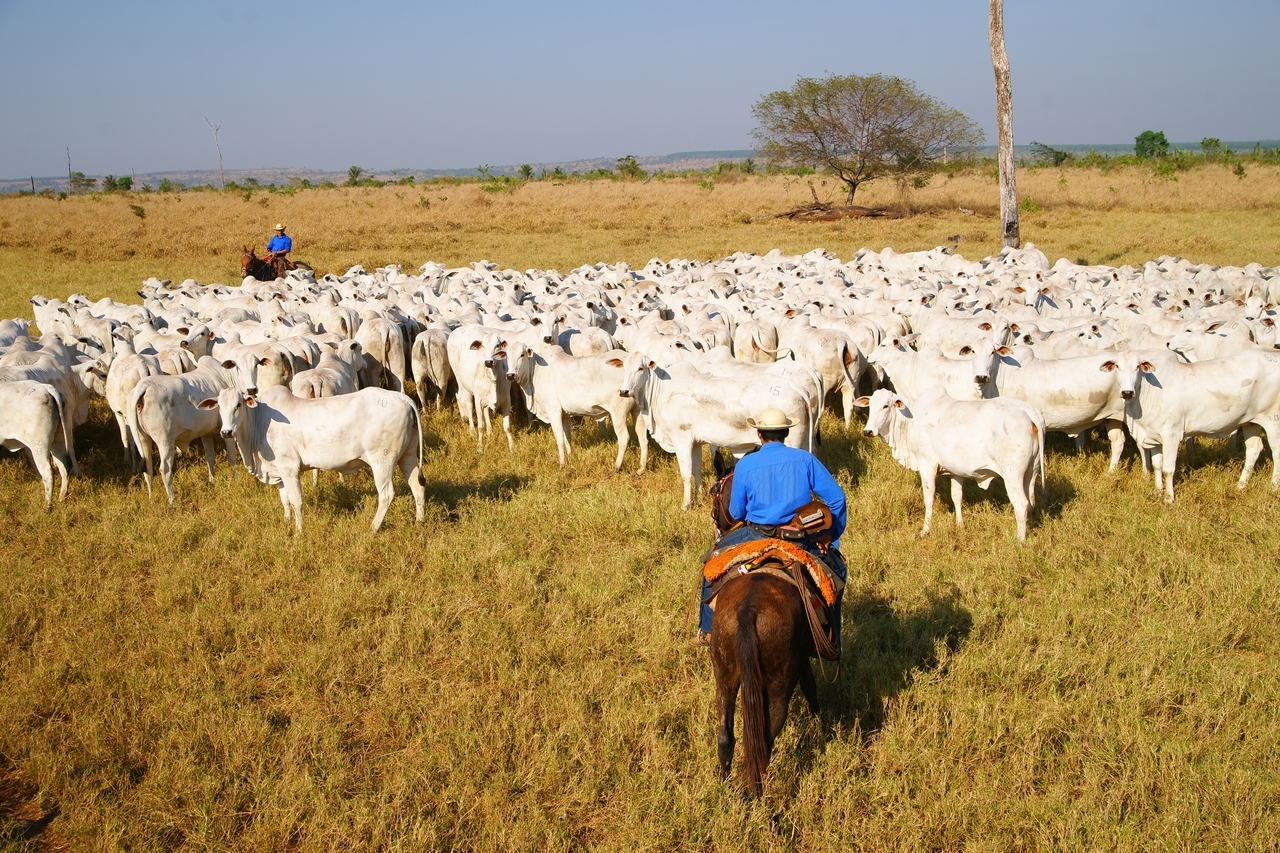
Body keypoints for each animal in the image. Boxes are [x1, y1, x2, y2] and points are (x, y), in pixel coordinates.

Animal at [202, 384, 427, 532]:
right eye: (219, 406)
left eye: (238, 405)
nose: (226, 432)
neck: (259, 422)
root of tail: (402, 398)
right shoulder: (279, 471)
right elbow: (284, 500)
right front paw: (287, 523)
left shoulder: (290, 468)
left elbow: (296, 501)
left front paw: (299, 531)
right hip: (407, 456)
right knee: (417, 487)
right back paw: (419, 522)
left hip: (382, 461)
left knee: (386, 494)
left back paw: (372, 528)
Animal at [855, 384, 1044, 537]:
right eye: (870, 406)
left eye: (885, 406)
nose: (868, 431)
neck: (912, 417)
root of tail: (1027, 411)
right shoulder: (956, 470)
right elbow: (957, 496)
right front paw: (960, 524)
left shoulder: (927, 465)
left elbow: (929, 498)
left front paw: (925, 530)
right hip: (1031, 471)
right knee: (1030, 502)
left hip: (1012, 474)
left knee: (1021, 504)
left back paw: (1019, 540)